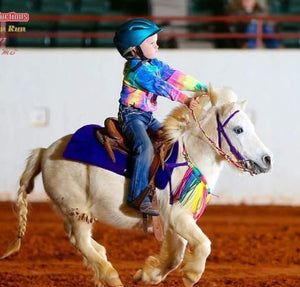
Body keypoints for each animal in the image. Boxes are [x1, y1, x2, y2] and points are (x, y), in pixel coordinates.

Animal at [0, 85, 272, 287]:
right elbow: (203, 244)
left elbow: (175, 255)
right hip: (77, 210)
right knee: (80, 240)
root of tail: (45, 151)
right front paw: (192, 274)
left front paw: (146, 275)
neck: (189, 156)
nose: (267, 159)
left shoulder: (175, 221)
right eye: (238, 129)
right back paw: (111, 277)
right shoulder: (177, 216)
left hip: (75, 212)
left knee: (83, 242)